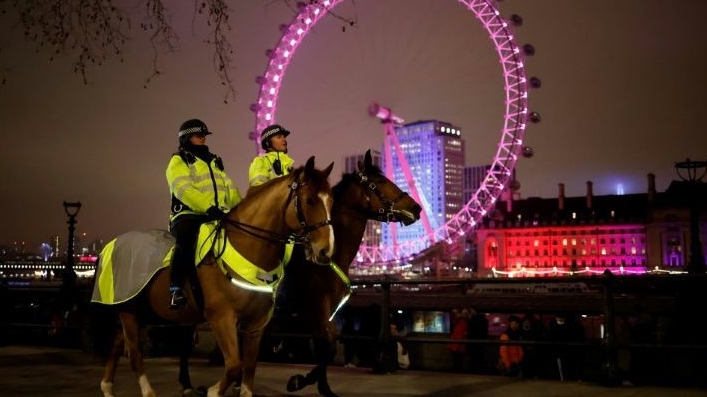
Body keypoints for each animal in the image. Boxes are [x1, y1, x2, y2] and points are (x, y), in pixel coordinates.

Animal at [90, 157, 334, 396]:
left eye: (330, 202)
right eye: (310, 200)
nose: (326, 250)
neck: (247, 246)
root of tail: (110, 245)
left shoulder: (256, 323)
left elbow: (248, 368)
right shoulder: (221, 317)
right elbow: (234, 365)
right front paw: (213, 391)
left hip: (139, 311)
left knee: (116, 347)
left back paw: (108, 388)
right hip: (129, 311)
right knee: (134, 354)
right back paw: (148, 391)